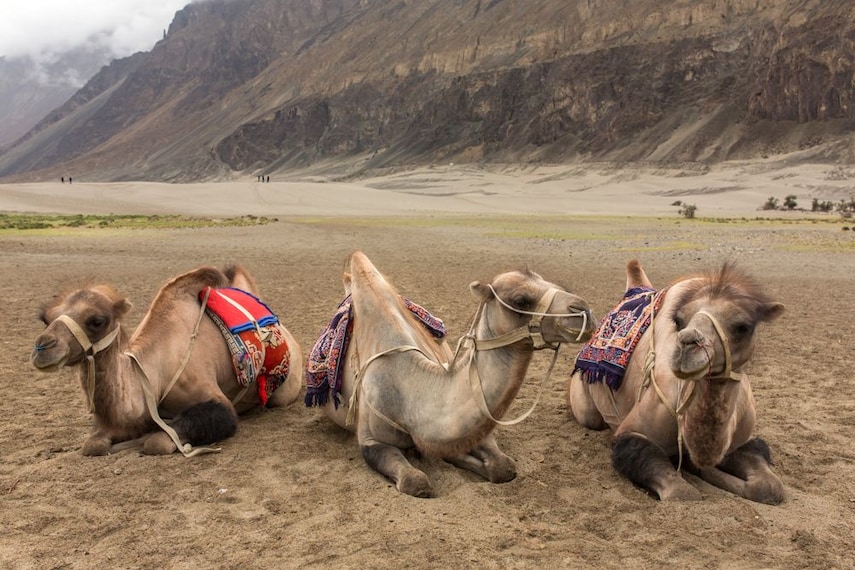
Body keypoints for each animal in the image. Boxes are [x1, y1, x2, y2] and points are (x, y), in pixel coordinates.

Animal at [30, 265, 303, 456]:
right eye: (46, 318)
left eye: (97, 320)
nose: (42, 348)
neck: (153, 375)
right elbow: (93, 445)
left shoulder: (217, 401)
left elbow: (158, 442)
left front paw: (146, 438)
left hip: (285, 390)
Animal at [306, 251, 595, 497]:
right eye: (520, 300)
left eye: (553, 282)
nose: (584, 312)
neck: (409, 388)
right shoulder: (371, 440)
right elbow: (416, 482)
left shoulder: (473, 429)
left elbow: (503, 466)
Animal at [567, 260, 785, 504]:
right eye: (678, 321)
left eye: (744, 326)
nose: (687, 344)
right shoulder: (633, 432)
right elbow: (682, 493)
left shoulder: (739, 440)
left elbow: (769, 487)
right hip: (585, 407)